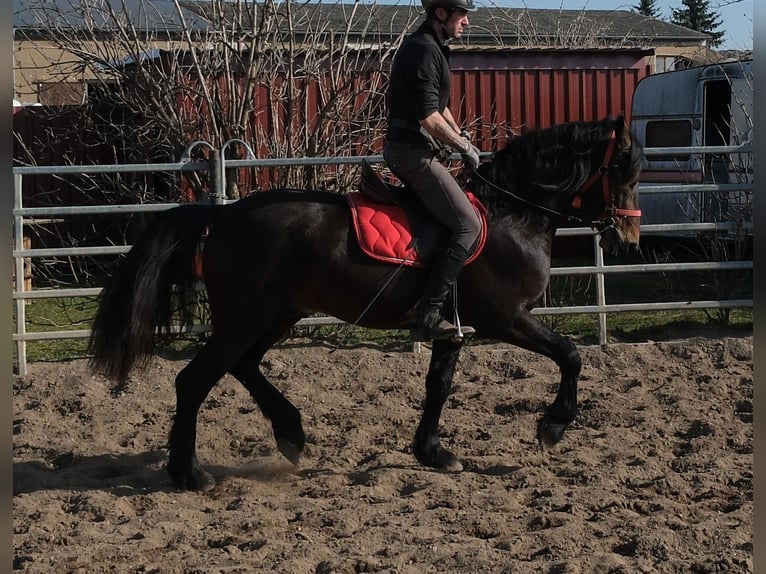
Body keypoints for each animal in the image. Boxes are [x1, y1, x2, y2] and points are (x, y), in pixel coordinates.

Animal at [88, 115, 643, 491]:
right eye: (622, 166)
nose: (628, 237)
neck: (511, 213)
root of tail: (223, 216)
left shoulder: (454, 327)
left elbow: (439, 386)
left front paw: (433, 453)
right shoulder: (505, 318)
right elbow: (570, 355)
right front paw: (552, 427)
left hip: (277, 314)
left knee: (245, 366)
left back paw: (290, 433)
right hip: (246, 318)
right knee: (195, 380)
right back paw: (191, 473)